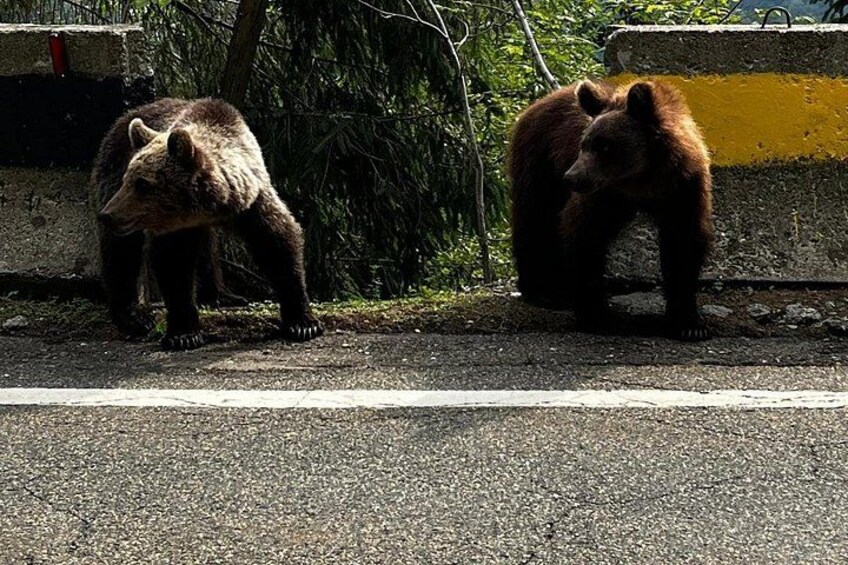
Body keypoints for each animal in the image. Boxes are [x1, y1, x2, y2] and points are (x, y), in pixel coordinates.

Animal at [93, 97, 324, 350]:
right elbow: (173, 263)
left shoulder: (252, 202)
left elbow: (278, 243)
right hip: (112, 165)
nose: (108, 214)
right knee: (121, 251)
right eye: (128, 179)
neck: (210, 206)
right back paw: (134, 317)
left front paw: (303, 323)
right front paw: (184, 334)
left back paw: (220, 295)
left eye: (143, 183)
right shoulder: (175, 227)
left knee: (206, 250)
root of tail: (128, 114)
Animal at [508, 80, 714, 341]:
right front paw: (597, 316)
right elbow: (584, 235)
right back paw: (545, 290)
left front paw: (689, 324)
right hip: (539, 161)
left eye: (604, 145)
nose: (572, 177)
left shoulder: (683, 188)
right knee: (535, 220)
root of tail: (539, 102)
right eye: (583, 143)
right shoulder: (602, 196)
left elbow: (683, 244)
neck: (643, 182)